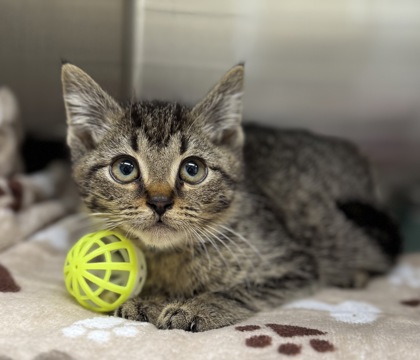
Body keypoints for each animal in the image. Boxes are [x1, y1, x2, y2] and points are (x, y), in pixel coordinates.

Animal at [61, 64, 400, 332]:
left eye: (193, 169)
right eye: (125, 168)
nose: (159, 202)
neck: (169, 256)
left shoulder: (294, 265)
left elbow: (234, 291)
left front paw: (196, 306)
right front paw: (152, 299)